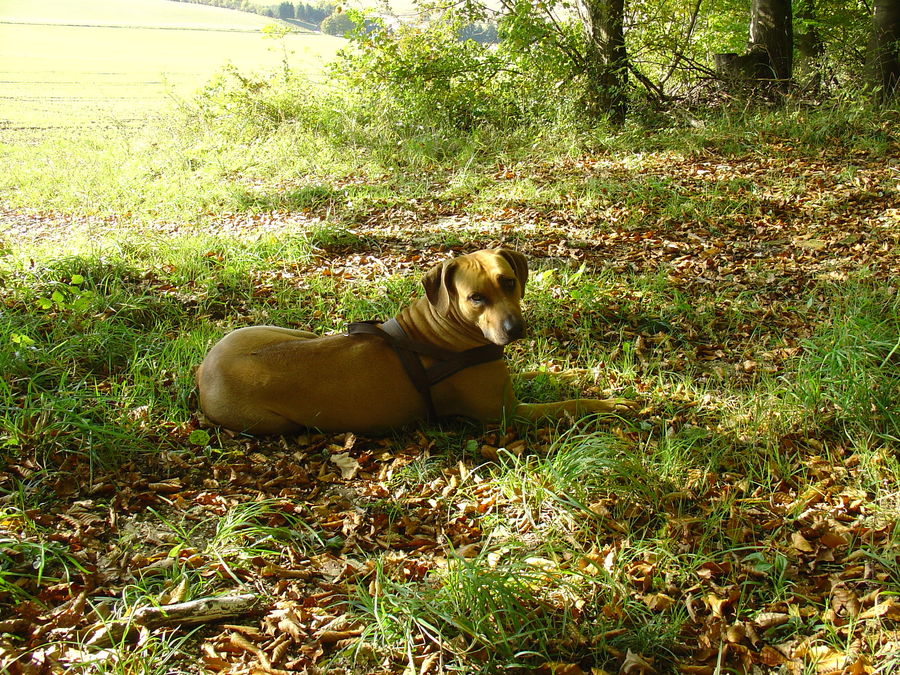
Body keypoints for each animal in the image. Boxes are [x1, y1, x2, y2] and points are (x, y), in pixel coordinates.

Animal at [197, 251, 632, 436]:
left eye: (508, 281)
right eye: (476, 298)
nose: (514, 329)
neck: (441, 332)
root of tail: (203, 370)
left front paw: (575, 373)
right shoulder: (508, 414)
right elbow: (569, 405)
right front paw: (609, 404)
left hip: (278, 332)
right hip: (271, 423)